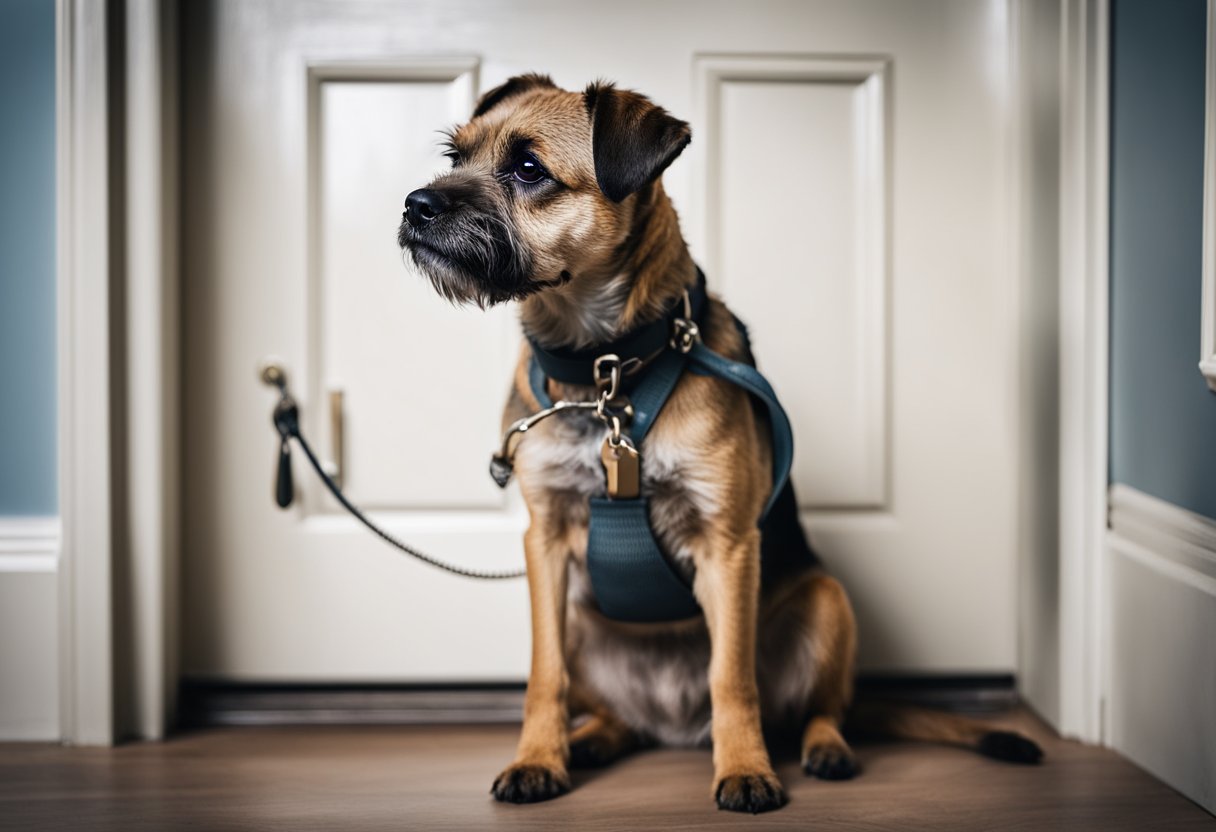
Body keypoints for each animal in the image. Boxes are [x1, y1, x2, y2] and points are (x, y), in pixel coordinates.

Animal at [398, 72, 1045, 812]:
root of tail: (673, 724)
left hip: (828, 603)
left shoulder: (729, 546)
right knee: (618, 715)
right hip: (584, 621)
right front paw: (538, 758)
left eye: (529, 169)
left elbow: (732, 679)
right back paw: (593, 737)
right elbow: (545, 674)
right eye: (456, 158)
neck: (606, 370)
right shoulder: (546, 546)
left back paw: (826, 748)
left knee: (818, 708)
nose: (414, 204)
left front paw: (745, 770)